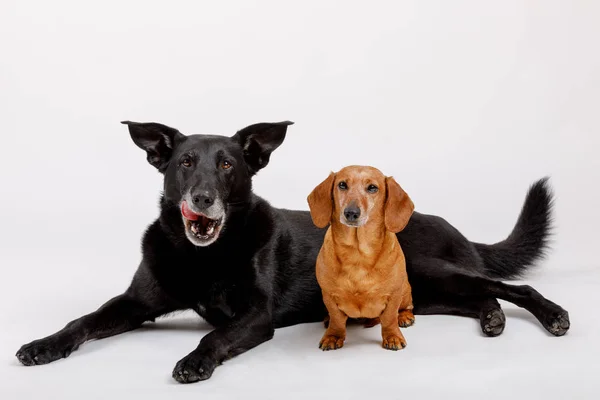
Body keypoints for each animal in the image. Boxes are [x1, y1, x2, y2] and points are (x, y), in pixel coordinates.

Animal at [14, 120, 568, 382]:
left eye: (229, 165)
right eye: (185, 162)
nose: (203, 198)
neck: (203, 256)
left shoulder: (255, 317)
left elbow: (214, 337)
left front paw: (195, 360)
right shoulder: (136, 303)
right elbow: (83, 321)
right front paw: (44, 345)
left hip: (429, 268)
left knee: (510, 285)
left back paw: (552, 314)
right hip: (428, 293)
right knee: (479, 297)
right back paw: (491, 319)